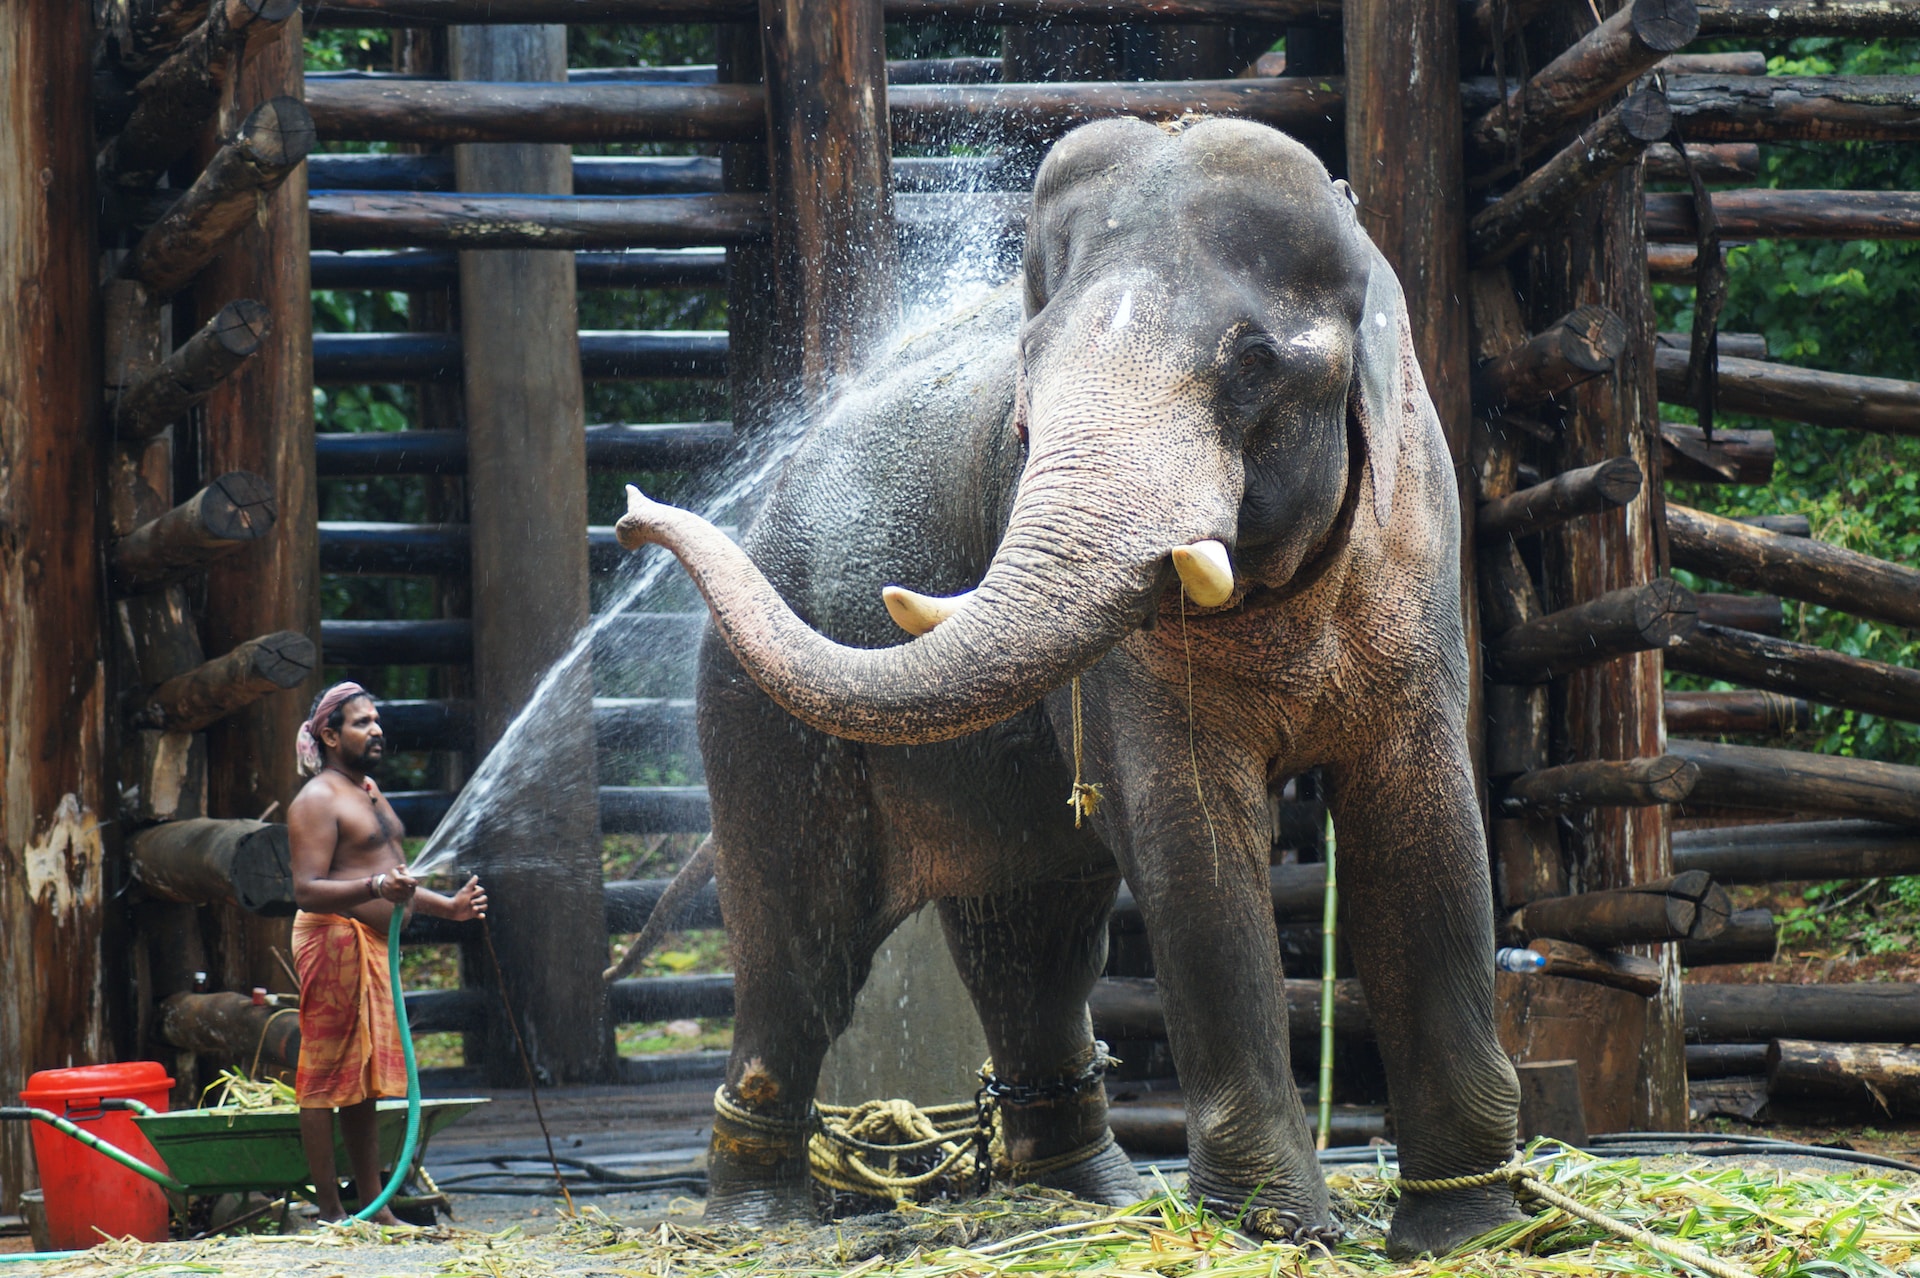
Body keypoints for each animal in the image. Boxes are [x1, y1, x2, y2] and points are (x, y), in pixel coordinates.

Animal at [613, 115, 1522, 1257]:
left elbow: (1429, 831)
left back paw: (1091, 1196)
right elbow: (1193, 842)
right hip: (752, 711)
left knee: (1031, 933)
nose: (631, 515)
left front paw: (1477, 1232)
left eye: (1254, 362)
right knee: (802, 944)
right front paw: (1273, 1232)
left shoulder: (1420, 554)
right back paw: (755, 1221)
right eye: (1025, 385)